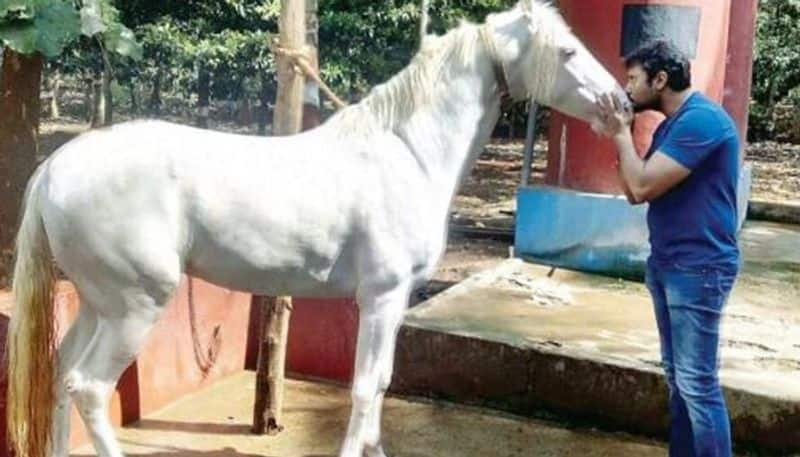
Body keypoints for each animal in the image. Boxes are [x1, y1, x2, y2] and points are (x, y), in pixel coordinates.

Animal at [6, 1, 620, 454]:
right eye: (566, 50)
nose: (617, 104)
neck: (407, 153)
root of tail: (57, 167)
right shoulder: (380, 299)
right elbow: (365, 387)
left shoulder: (396, 302)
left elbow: (382, 383)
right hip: (137, 307)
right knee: (90, 389)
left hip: (99, 305)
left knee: (60, 375)